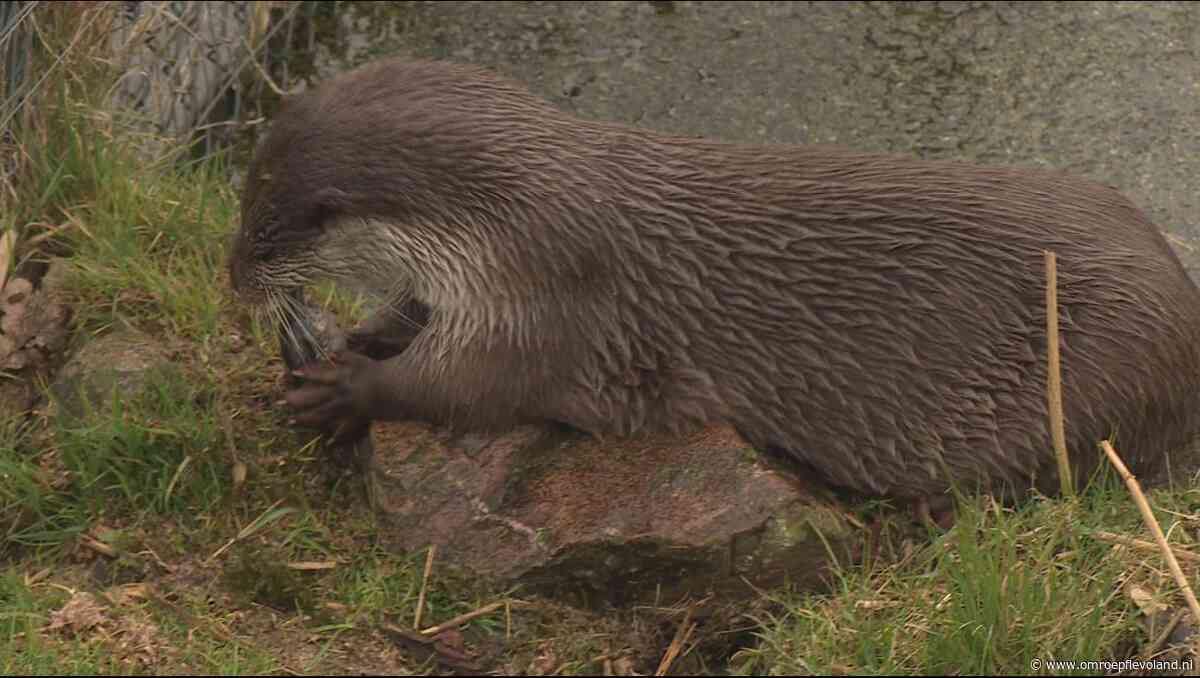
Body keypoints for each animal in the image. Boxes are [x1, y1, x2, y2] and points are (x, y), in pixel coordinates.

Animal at [226, 56, 1200, 501]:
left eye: (262, 233)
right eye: (241, 211)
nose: (233, 278)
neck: (508, 218)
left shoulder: (551, 298)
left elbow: (472, 386)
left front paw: (345, 387)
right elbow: (411, 315)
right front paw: (360, 335)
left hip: (1088, 385)